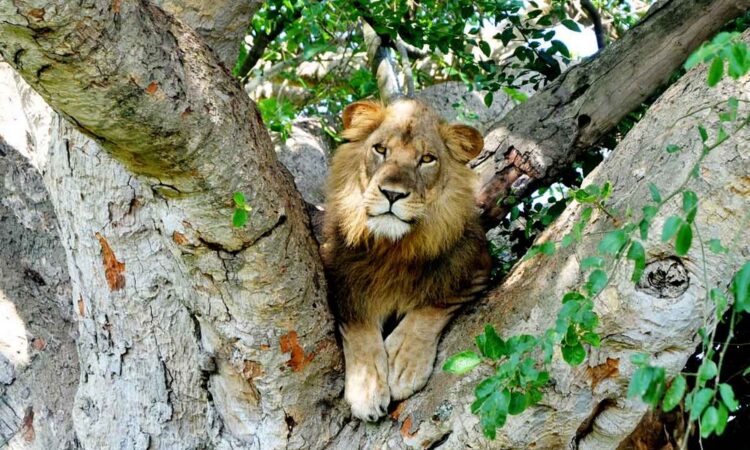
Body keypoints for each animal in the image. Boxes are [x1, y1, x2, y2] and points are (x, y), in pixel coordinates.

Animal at [321, 98, 492, 421]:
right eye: (380, 149)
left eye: (427, 159)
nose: (392, 193)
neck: (393, 249)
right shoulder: (339, 282)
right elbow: (358, 326)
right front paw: (367, 387)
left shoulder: (476, 269)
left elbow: (432, 306)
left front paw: (403, 364)